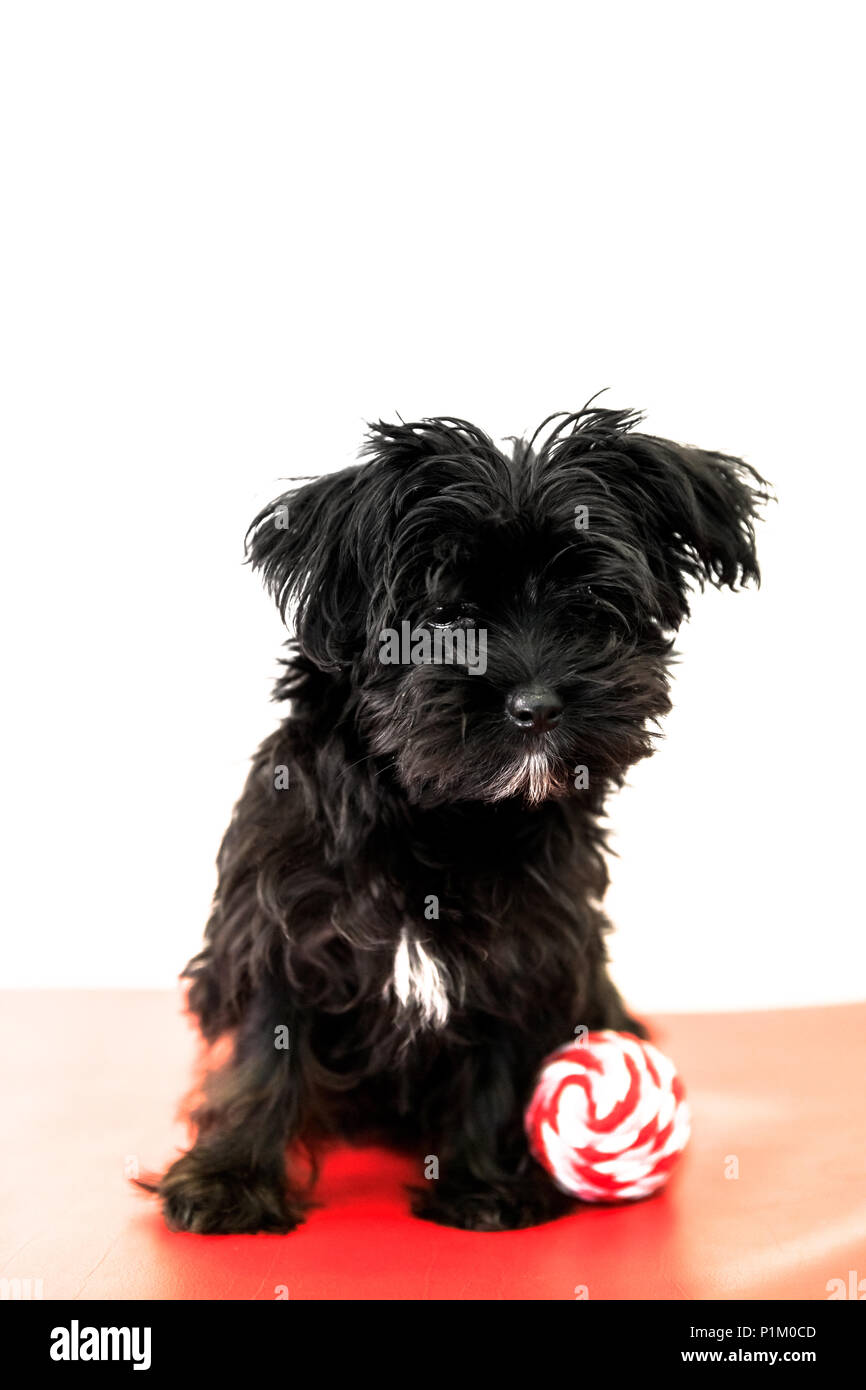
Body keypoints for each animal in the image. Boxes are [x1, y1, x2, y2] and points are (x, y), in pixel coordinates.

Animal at [145, 405, 767, 1239]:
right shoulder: (280, 927)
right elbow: (262, 1052)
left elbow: (497, 1061)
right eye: (444, 614)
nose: (537, 705)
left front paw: (485, 1184)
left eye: (590, 605)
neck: (442, 814)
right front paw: (229, 1180)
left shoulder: (530, 945)